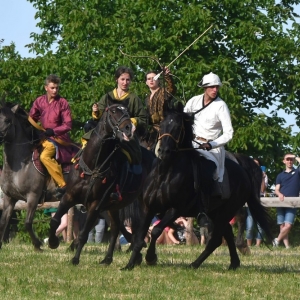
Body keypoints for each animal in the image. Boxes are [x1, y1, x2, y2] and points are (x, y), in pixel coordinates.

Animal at [48, 103, 155, 264]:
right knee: (116, 228)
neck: (93, 166)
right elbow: (55, 221)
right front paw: (53, 242)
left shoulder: (95, 204)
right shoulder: (70, 196)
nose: (128, 128)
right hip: (113, 206)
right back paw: (108, 258)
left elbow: (84, 233)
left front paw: (75, 259)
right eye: (113, 111)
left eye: (127, 112)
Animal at [123, 102, 274, 270]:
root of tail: (243, 170)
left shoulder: (175, 209)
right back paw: (233, 263)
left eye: (178, 127)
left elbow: (156, 230)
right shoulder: (148, 207)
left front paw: (151, 257)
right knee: (227, 233)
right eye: (161, 125)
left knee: (218, 238)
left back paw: (195, 263)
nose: (163, 151)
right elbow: (140, 236)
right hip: (217, 212)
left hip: (225, 212)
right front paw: (130, 264)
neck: (164, 174)